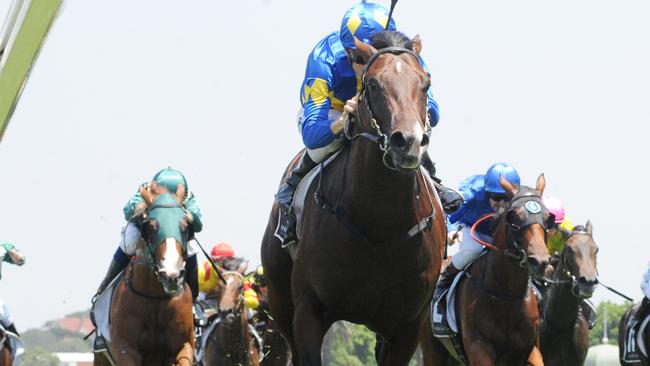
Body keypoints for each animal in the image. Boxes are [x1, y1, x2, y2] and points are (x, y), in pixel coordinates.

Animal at [93, 186, 194, 366]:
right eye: (151, 227)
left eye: (185, 227)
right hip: (101, 358)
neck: (155, 297)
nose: (171, 275)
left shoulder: (183, 347)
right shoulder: (126, 350)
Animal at [260, 30, 442, 364]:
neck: (380, 222)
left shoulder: (407, 326)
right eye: (373, 84)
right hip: (279, 300)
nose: (408, 142)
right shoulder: (308, 312)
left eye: (425, 83)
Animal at [420, 174, 552, 366]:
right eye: (514, 217)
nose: (540, 260)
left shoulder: (531, 350)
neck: (506, 296)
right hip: (433, 349)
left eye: (548, 217)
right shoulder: (479, 347)